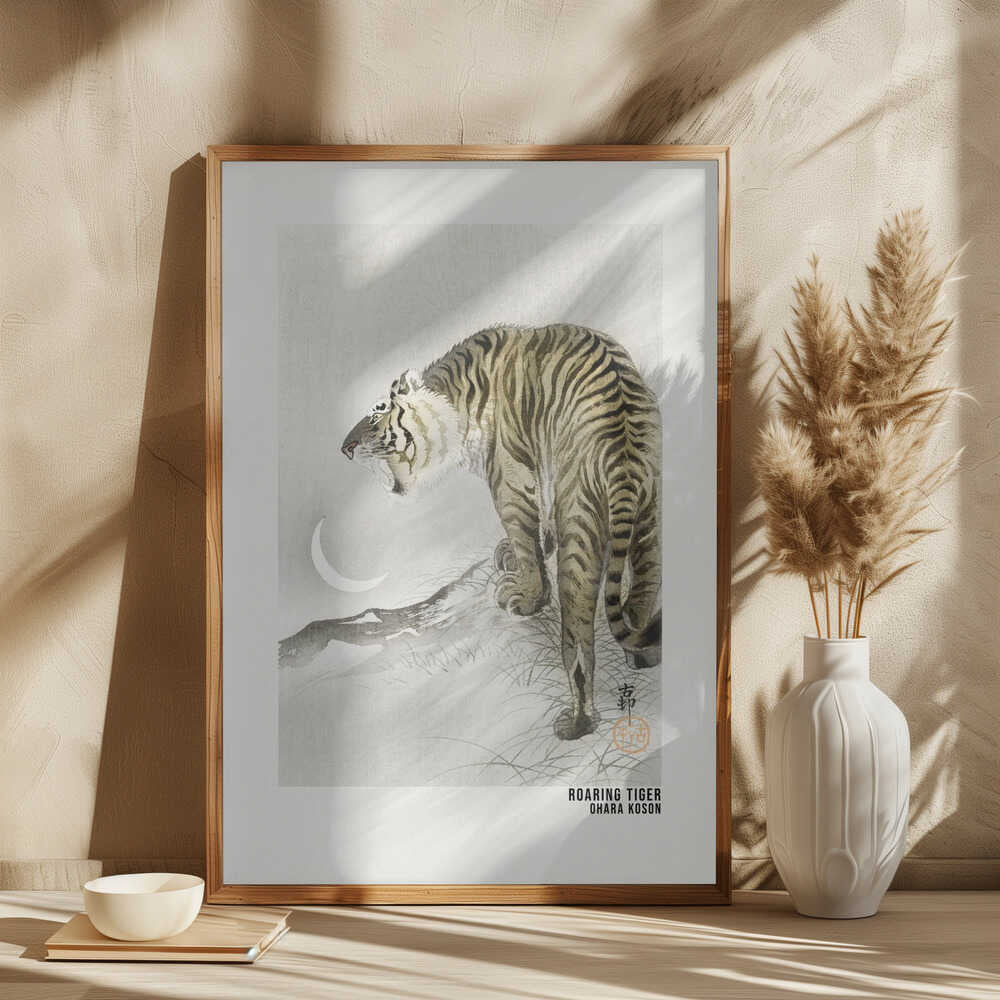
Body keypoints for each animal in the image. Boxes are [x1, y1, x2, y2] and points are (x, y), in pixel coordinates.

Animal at [341, 324, 661, 741]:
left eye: (378, 413)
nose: (345, 448)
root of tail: (622, 441)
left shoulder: (509, 478)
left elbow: (525, 536)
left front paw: (525, 595)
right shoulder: (541, 470)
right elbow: (539, 528)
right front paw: (517, 553)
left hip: (581, 524)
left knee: (578, 642)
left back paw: (576, 723)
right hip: (648, 516)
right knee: (642, 594)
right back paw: (644, 655)